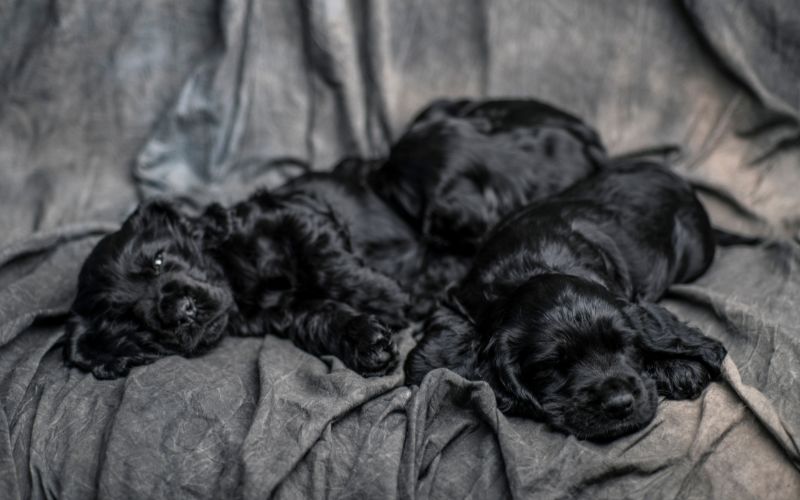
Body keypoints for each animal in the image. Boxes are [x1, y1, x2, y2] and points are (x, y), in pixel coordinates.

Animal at [410, 161, 728, 442]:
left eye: (625, 345)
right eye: (552, 366)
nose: (619, 403)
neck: (536, 262)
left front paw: (680, 368)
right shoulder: (461, 296)